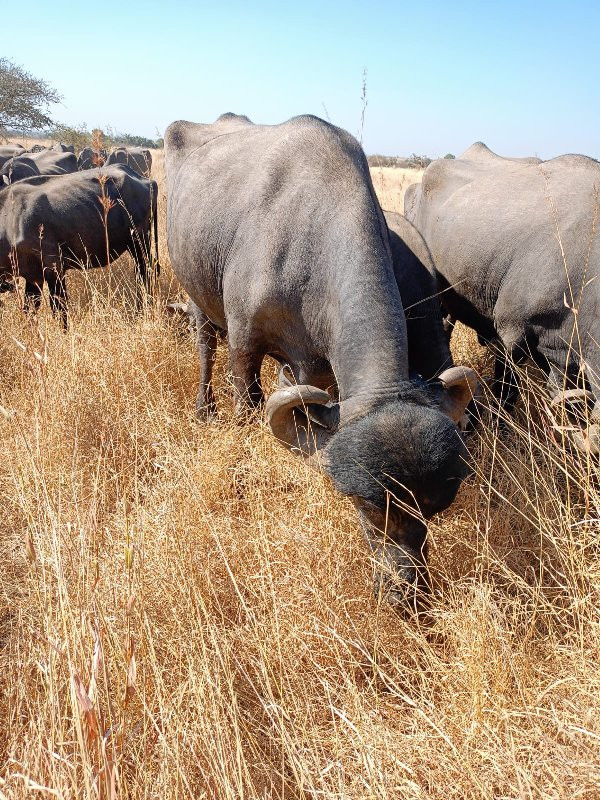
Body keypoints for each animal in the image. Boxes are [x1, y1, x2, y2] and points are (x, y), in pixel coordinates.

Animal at [0, 164, 159, 326]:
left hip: (139, 243)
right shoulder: (33, 276)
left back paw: (141, 311)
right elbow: (30, 309)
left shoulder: (54, 269)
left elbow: (59, 309)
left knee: (145, 273)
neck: (11, 220)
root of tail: (144, 180)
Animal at [165, 111, 478, 600]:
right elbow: (247, 405)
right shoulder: (245, 346)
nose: (405, 590)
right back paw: (203, 407)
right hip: (197, 297)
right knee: (204, 347)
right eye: (367, 506)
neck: (306, 245)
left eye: (432, 509)